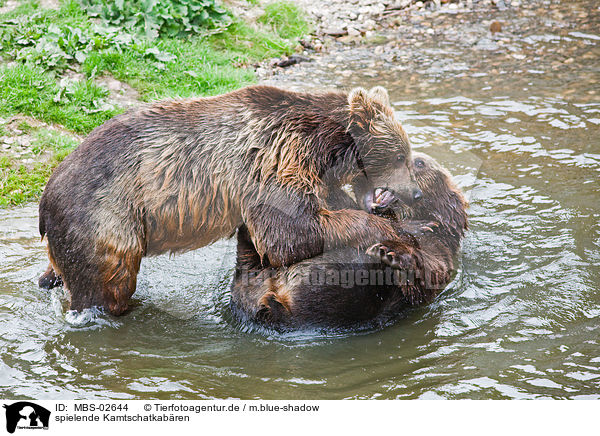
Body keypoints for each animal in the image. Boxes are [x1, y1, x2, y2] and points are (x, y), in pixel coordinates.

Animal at [37, 85, 422, 316]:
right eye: (401, 155)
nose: (415, 192)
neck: (325, 147)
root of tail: (44, 198)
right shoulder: (276, 159)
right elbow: (290, 232)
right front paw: (390, 229)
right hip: (106, 215)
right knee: (108, 281)